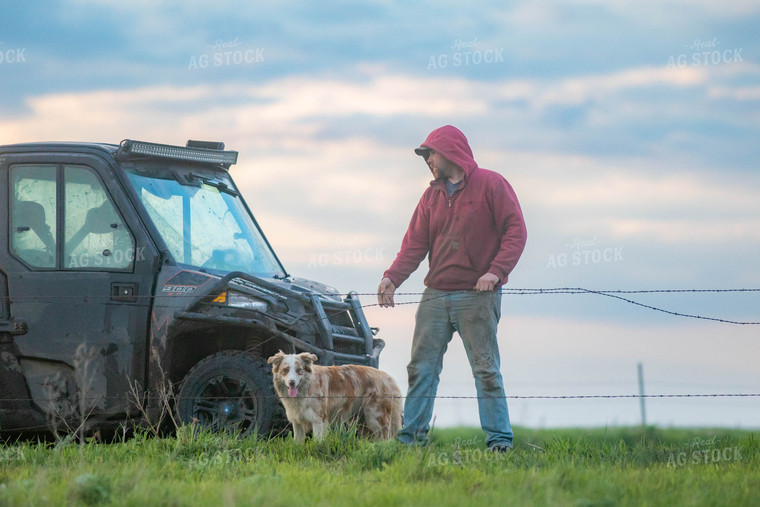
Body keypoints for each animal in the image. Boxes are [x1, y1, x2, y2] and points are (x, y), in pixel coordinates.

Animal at [268, 352, 404, 442]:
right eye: (285, 370)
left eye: (299, 370)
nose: (292, 383)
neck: (306, 389)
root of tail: (388, 377)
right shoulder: (297, 421)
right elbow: (298, 443)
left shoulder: (318, 419)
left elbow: (317, 442)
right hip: (361, 420)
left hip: (374, 416)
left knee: (385, 437)